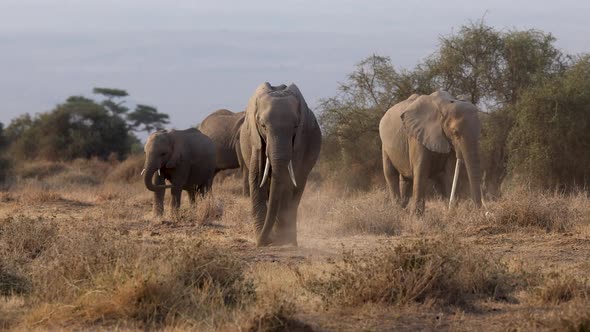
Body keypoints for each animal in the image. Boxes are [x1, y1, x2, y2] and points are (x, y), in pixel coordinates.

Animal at [240, 83, 324, 246]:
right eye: (263, 126)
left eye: (295, 127)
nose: (260, 243)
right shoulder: (256, 140)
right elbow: (257, 177)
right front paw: (264, 239)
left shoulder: (300, 141)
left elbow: (287, 180)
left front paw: (280, 240)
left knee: (297, 191)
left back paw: (291, 241)